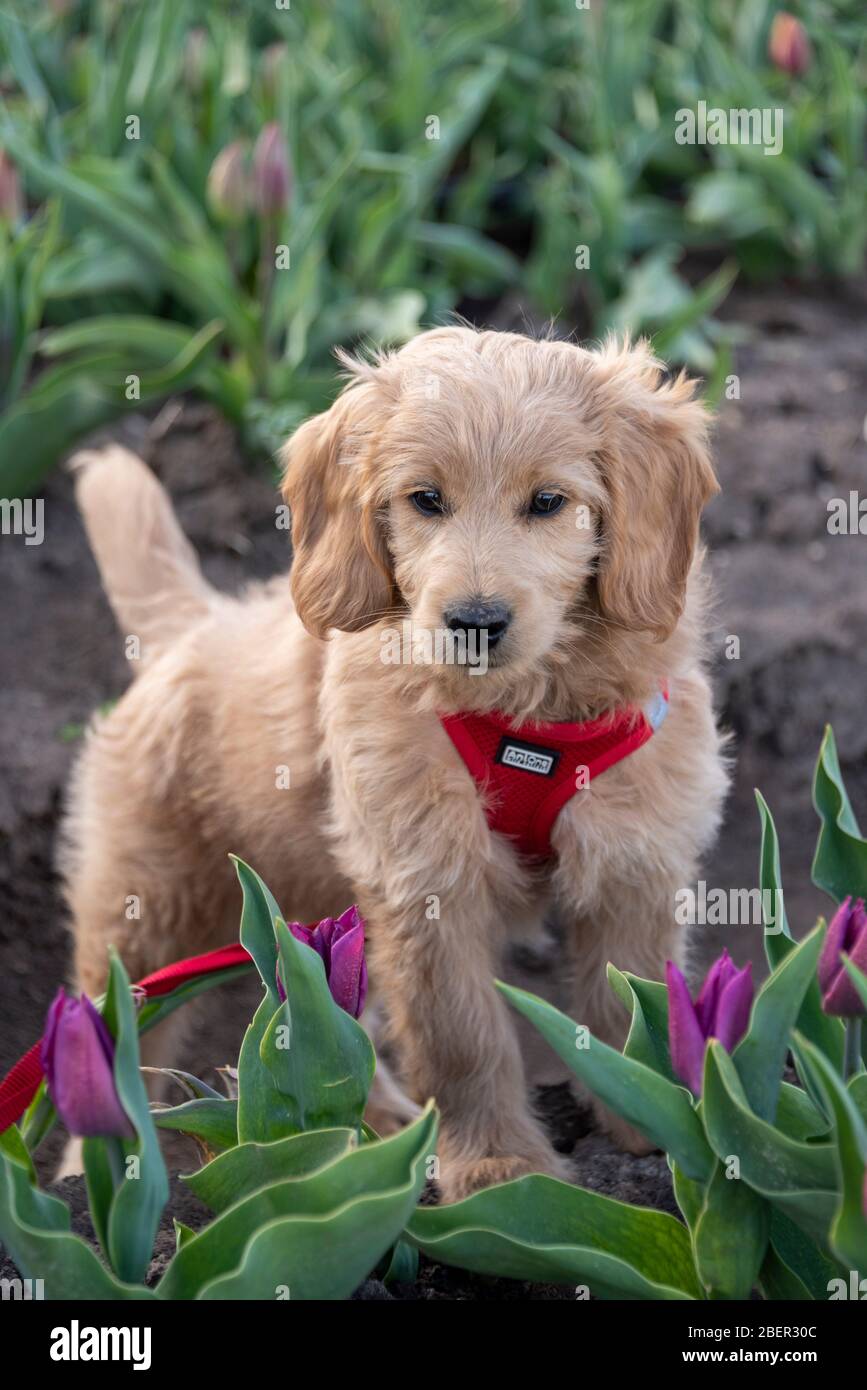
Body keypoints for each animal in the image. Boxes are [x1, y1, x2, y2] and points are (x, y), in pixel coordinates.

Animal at [61, 330, 728, 1200]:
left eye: (548, 502)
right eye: (425, 499)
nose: (473, 621)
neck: (522, 715)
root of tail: (191, 628)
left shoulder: (632, 864)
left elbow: (628, 1002)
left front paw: (652, 1123)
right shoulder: (427, 883)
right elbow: (463, 1036)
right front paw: (500, 1167)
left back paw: (364, 1126)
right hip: (146, 910)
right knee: (105, 1037)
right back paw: (87, 1176)